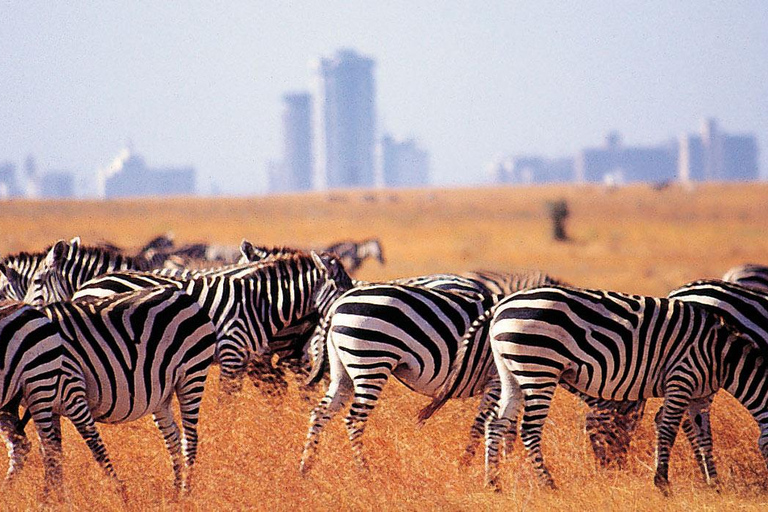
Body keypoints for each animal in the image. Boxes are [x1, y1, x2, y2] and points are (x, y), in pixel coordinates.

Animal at [420, 286, 768, 494]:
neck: (722, 356)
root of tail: (502, 305)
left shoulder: (700, 396)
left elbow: (704, 436)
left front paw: (714, 483)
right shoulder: (681, 378)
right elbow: (667, 428)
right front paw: (662, 483)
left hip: (511, 371)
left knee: (497, 423)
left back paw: (493, 483)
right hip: (539, 367)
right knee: (529, 430)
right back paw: (549, 485)